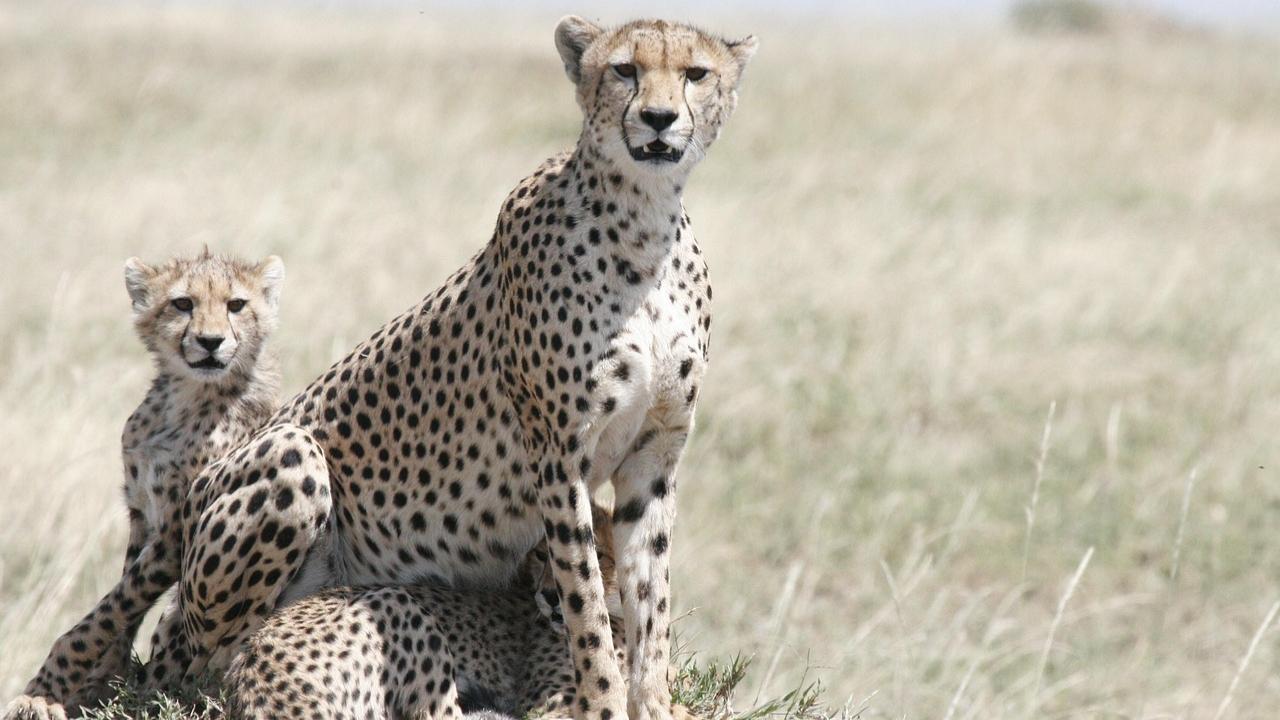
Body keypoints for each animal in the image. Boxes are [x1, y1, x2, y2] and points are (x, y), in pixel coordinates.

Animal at [2, 250, 286, 720]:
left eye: (236, 305)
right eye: (183, 303)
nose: (210, 342)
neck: (186, 398)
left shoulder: (176, 531)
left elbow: (109, 609)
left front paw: (43, 690)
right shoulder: (142, 513)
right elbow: (121, 602)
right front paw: (104, 680)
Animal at [156, 16, 756, 720]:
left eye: (696, 74)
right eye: (625, 69)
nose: (659, 118)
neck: (644, 223)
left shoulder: (654, 455)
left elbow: (649, 597)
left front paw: (654, 699)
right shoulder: (558, 454)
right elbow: (585, 604)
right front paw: (605, 700)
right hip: (290, 456)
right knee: (206, 666)